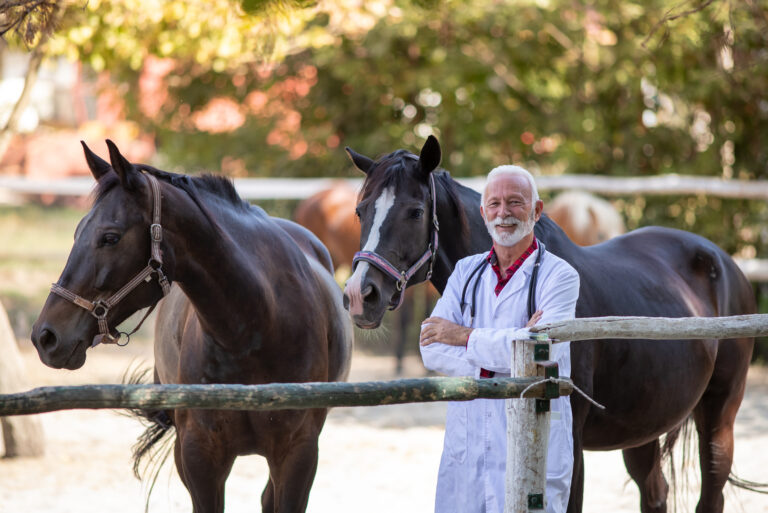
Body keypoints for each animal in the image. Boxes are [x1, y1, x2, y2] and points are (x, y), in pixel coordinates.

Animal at [30, 140, 353, 513]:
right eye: (77, 232)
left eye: (110, 237)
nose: (45, 336)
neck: (257, 326)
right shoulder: (199, 458)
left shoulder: (298, 455)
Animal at [341, 135, 755, 513]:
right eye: (360, 211)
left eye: (414, 212)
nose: (361, 294)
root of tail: (724, 261)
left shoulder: (573, 448)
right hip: (642, 427)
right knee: (656, 493)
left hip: (718, 418)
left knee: (711, 493)